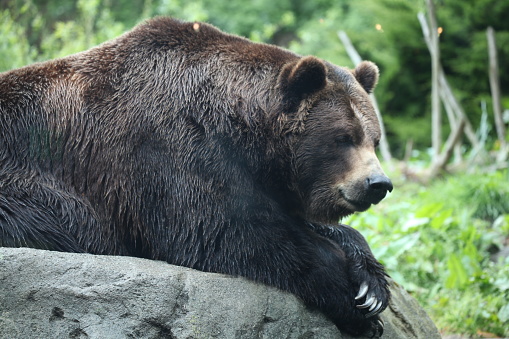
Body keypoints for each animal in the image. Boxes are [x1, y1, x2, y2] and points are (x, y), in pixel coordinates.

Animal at [0, 17, 392, 338]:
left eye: (373, 138)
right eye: (343, 137)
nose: (378, 184)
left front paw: (370, 279)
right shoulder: (168, 150)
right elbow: (228, 230)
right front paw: (357, 303)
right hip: (27, 185)